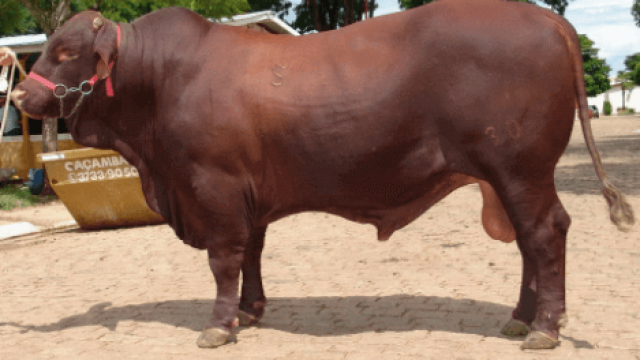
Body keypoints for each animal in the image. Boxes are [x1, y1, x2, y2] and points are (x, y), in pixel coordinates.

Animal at [10, 0, 636, 350]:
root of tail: (547, 18)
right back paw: (519, 321)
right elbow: (252, 255)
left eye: (63, 52)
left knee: (545, 235)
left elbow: (224, 260)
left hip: (520, 170)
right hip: (510, 179)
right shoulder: (249, 194)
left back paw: (544, 329)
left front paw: (218, 325)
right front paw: (250, 312)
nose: (18, 95)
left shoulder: (214, 188)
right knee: (531, 242)